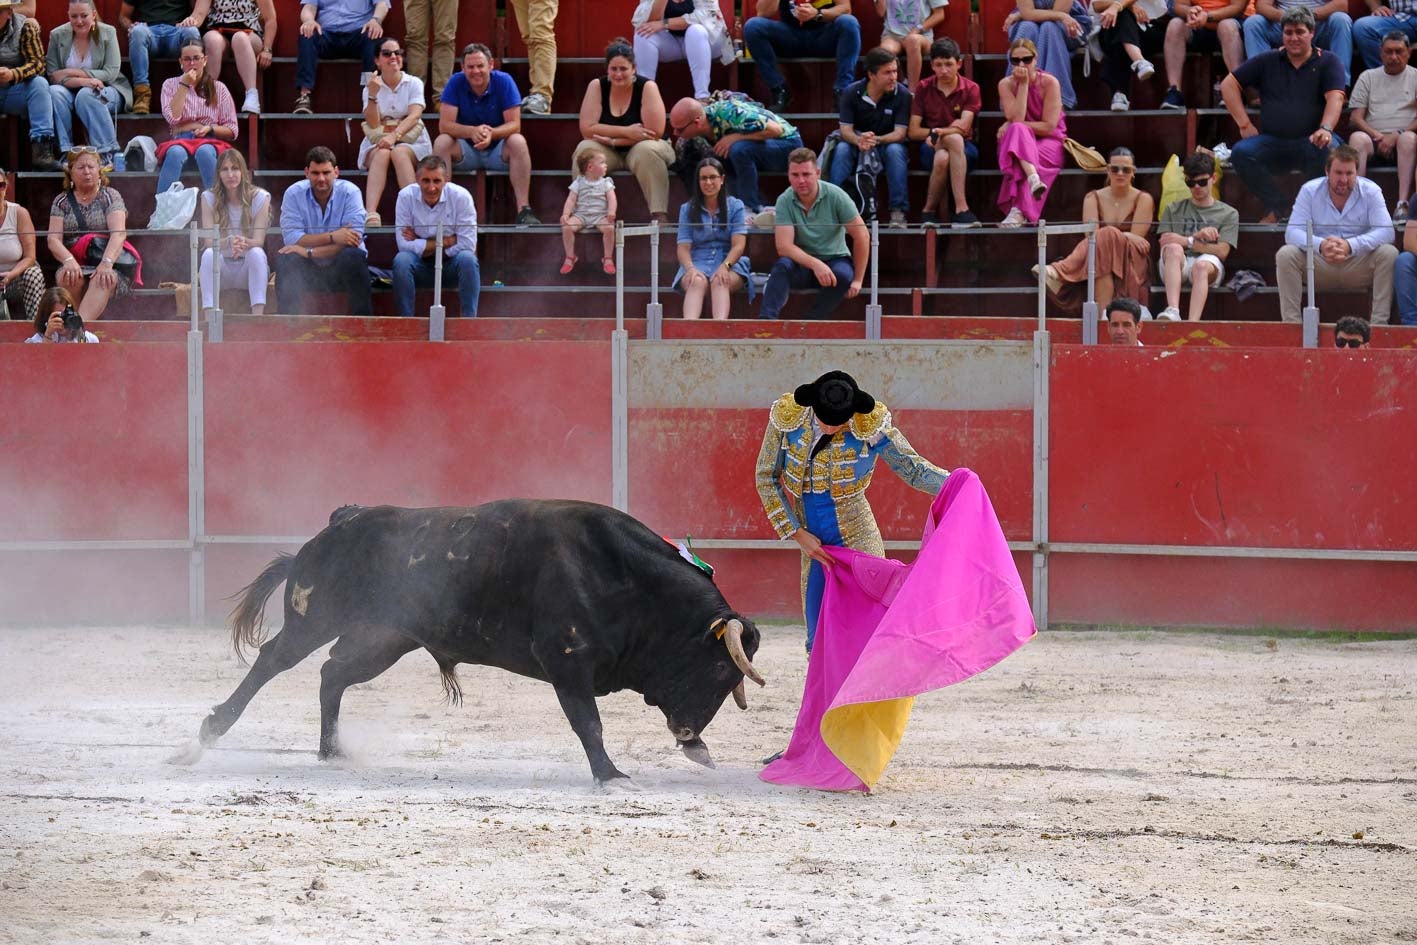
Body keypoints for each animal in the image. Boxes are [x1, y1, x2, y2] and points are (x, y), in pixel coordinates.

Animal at [178, 498, 776, 782]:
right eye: (719, 669)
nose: (689, 734)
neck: (625, 579)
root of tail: (342, 520)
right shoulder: (567, 663)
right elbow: (589, 723)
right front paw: (610, 776)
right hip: (314, 616)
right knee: (272, 661)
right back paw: (208, 732)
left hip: (384, 638)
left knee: (333, 673)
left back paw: (332, 751)